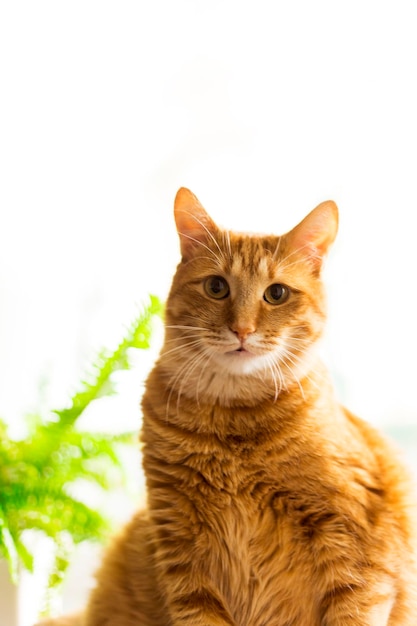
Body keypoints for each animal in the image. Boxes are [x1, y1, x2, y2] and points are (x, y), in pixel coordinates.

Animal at [37, 190, 414, 624]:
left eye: (277, 294)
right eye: (216, 287)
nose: (242, 330)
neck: (234, 417)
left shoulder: (358, 549)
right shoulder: (183, 547)